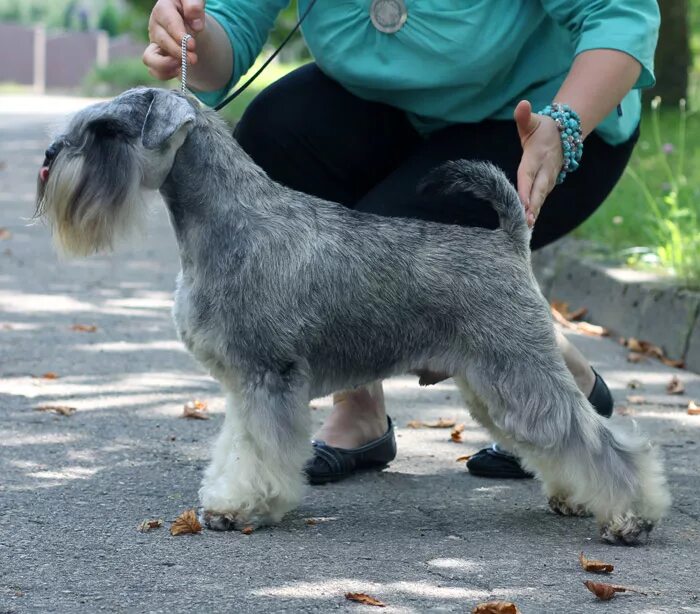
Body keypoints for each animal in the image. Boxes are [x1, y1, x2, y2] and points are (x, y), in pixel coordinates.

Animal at [35, 85, 668, 544]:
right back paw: (574, 497)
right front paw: (225, 498)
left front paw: (242, 508)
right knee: (560, 438)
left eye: (106, 130)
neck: (228, 218)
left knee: (598, 440)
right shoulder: (246, 383)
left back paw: (631, 517)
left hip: (518, 371)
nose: (48, 159)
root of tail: (509, 240)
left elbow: (259, 450)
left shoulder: (268, 376)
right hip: (493, 384)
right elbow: (237, 444)